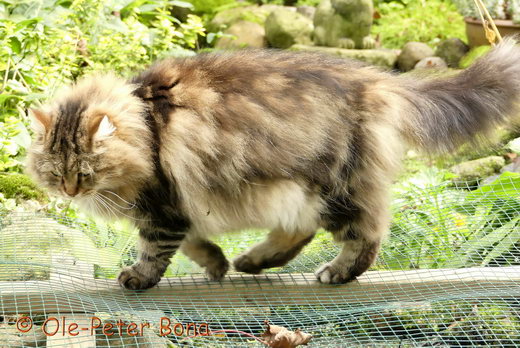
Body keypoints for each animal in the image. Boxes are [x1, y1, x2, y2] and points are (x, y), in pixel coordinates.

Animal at [26, 38, 520, 290]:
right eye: (56, 173)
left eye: (84, 173)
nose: (70, 191)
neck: (145, 123)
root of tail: (377, 81)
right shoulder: (184, 208)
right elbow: (195, 244)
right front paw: (217, 265)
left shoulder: (161, 207)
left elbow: (155, 250)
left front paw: (138, 277)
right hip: (295, 192)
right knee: (299, 232)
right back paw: (250, 262)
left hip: (333, 189)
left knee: (367, 233)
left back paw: (336, 273)